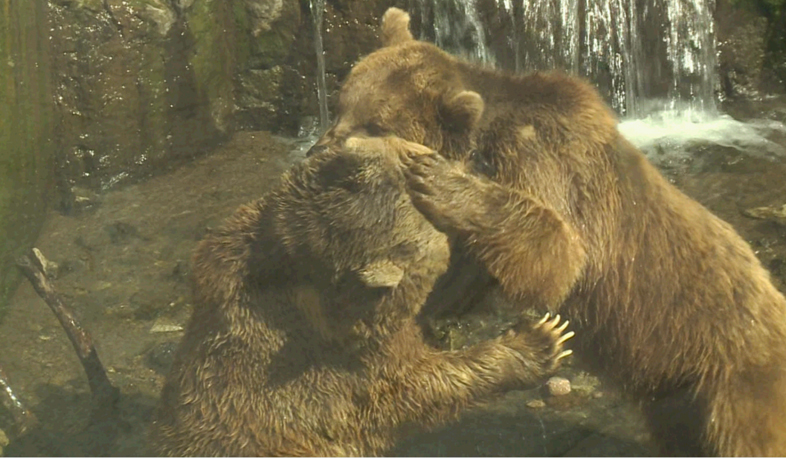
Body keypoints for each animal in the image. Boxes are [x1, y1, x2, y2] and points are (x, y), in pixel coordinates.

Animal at [306, 6, 786, 454]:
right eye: (343, 102)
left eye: (374, 124)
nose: (317, 150)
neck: (483, 147)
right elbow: (463, 275)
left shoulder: (543, 160)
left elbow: (558, 256)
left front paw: (436, 179)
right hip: (678, 397)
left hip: (735, 377)